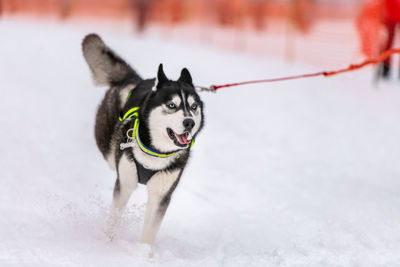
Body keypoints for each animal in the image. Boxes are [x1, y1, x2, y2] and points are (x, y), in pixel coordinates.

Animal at [83, 34, 205, 247]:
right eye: (171, 105)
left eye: (193, 106)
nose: (189, 122)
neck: (155, 153)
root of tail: (134, 79)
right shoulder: (125, 184)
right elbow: (114, 218)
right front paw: (107, 243)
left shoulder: (162, 194)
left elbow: (150, 231)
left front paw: (143, 251)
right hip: (108, 143)